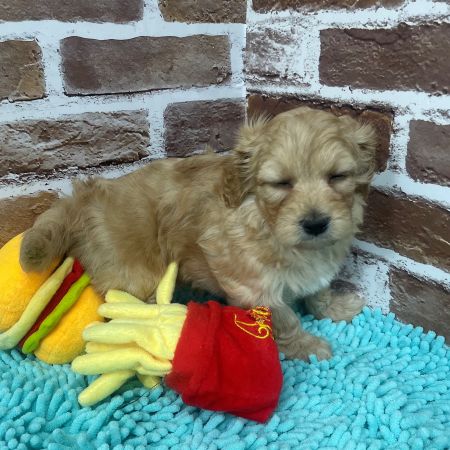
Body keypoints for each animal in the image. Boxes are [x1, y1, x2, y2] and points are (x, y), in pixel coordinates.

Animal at [19, 107, 376, 360]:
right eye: (281, 184)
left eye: (337, 177)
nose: (316, 224)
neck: (266, 222)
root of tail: (84, 199)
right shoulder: (251, 287)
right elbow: (285, 317)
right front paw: (306, 346)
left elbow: (319, 289)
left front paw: (333, 308)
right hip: (136, 273)